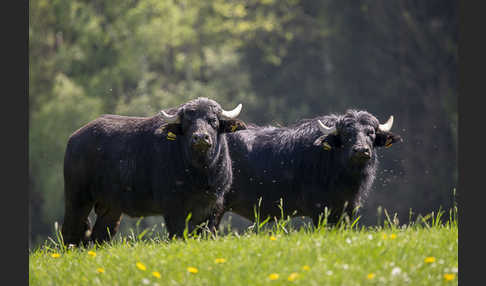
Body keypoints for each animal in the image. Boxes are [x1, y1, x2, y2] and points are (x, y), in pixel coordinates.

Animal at [61, 97, 247, 245]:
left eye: (213, 120)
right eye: (187, 122)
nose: (200, 137)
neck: (201, 174)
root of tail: (73, 139)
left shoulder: (214, 206)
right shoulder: (173, 207)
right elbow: (179, 233)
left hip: (110, 206)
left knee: (100, 234)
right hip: (77, 198)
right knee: (71, 229)